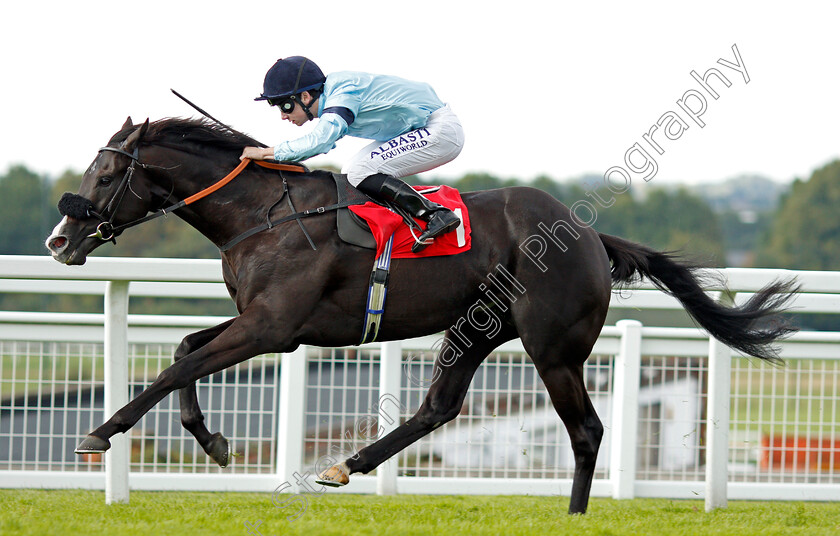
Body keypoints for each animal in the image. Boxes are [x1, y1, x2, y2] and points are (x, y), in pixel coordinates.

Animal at [44, 116, 796, 510]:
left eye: (105, 174)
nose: (58, 240)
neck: (264, 216)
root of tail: (587, 234)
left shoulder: (272, 328)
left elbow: (180, 365)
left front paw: (100, 433)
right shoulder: (266, 326)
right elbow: (183, 353)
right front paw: (212, 440)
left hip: (552, 347)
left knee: (585, 429)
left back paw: (576, 514)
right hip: (475, 328)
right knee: (439, 407)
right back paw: (347, 465)